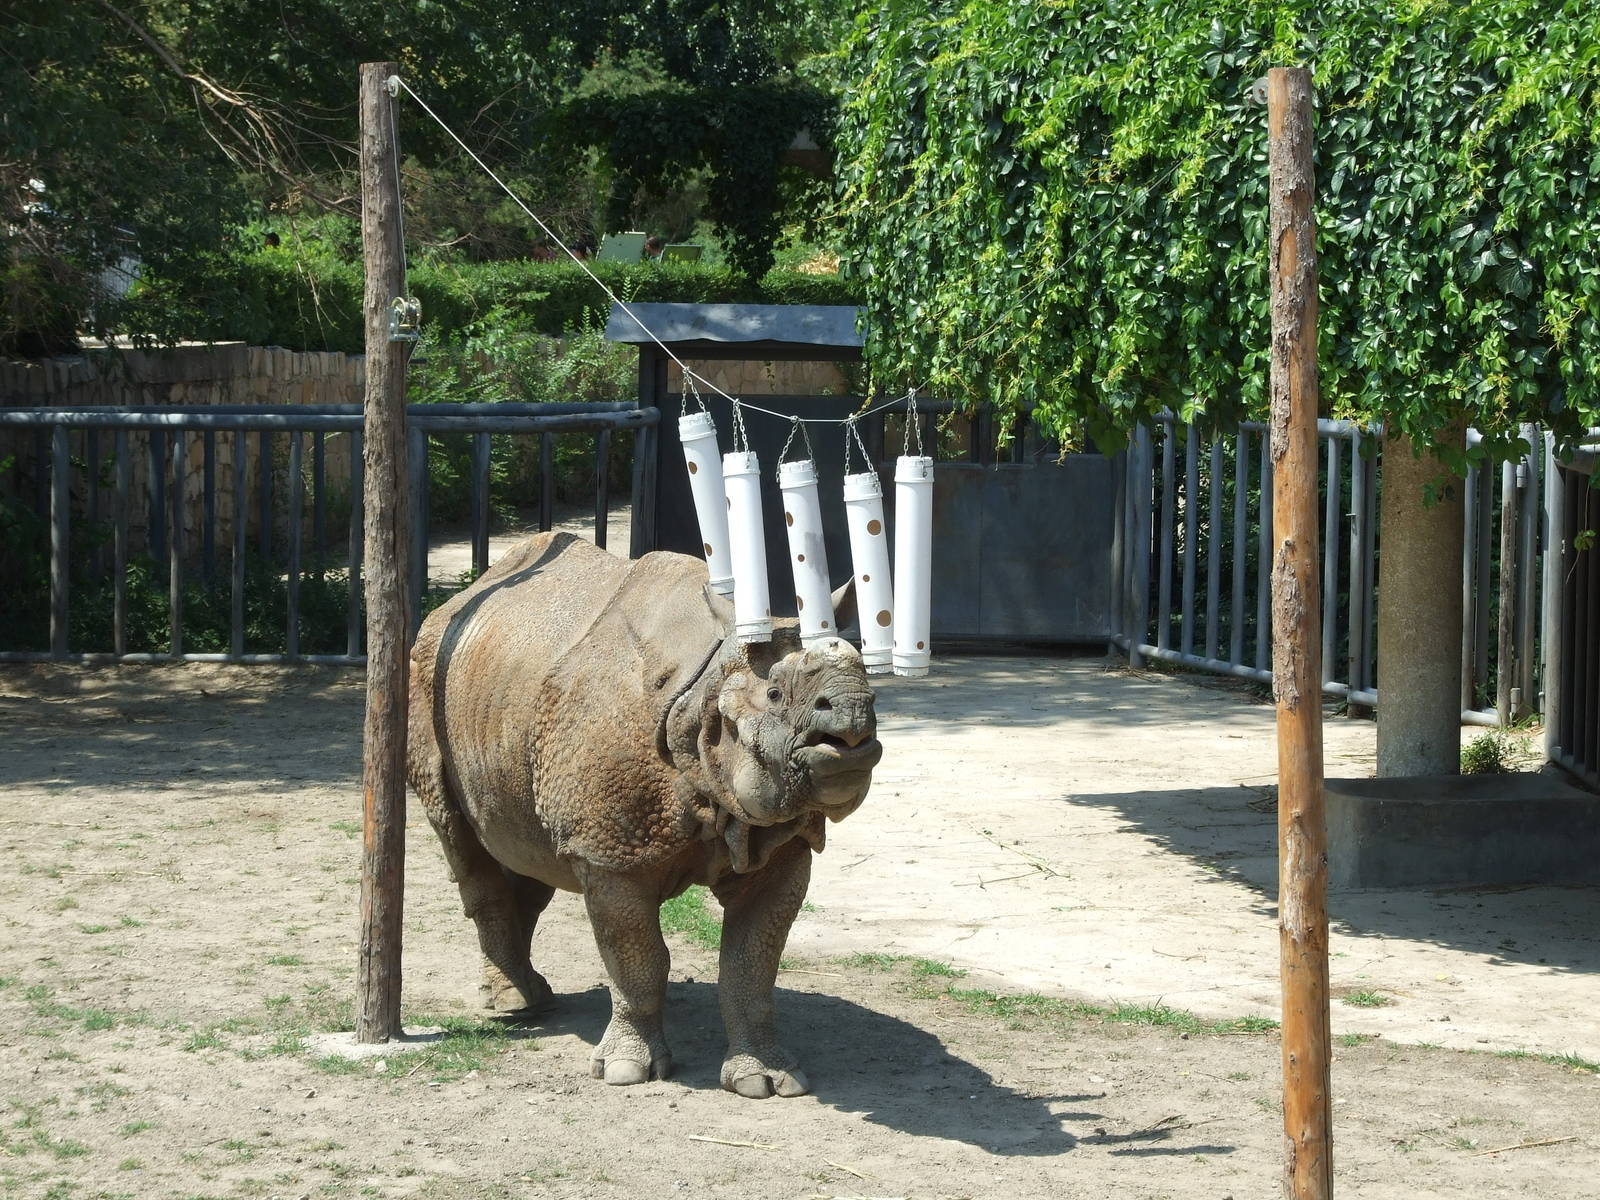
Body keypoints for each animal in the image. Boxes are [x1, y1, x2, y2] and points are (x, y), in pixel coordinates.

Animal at [407, 531, 881, 1098]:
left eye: (875, 694)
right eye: (772, 695)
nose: (855, 717)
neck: (703, 699)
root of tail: (464, 597)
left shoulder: (776, 842)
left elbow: (752, 965)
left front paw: (767, 1080)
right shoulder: (610, 851)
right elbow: (638, 957)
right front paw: (626, 1072)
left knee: (524, 847)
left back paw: (533, 998)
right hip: (426, 676)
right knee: (459, 836)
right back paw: (513, 1006)